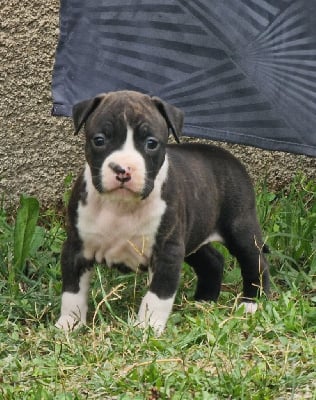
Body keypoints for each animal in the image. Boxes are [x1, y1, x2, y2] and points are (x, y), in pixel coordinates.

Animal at [56, 90, 270, 334]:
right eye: (99, 140)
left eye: (151, 143)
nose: (123, 170)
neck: (120, 206)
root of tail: (230, 158)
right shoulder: (76, 247)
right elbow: (72, 292)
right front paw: (69, 324)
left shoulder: (167, 251)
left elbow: (158, 295)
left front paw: (146, 328)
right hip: (194, 236)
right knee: (213, 261)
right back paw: (204, 301)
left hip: (240, 228)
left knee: (256, 261)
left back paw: (252, 304)